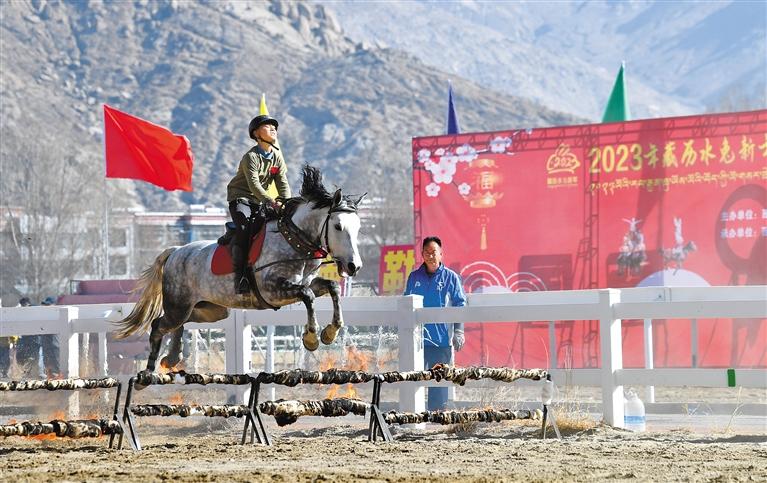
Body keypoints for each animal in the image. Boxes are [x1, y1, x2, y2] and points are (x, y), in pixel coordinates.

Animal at [115, 164, 364, 376]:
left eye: (359, 227)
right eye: (338, 226)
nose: (354, 266)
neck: (292, 240)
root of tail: (175, 251)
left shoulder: (304, 282)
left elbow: (330, 287)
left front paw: (330, 332)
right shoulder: (272, 290)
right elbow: (308, 295)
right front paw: (311, 337)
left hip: (211, 310)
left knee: (181, 323)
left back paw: (172, 358)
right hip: (179, 305)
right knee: (159, 325)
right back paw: (148, 372)